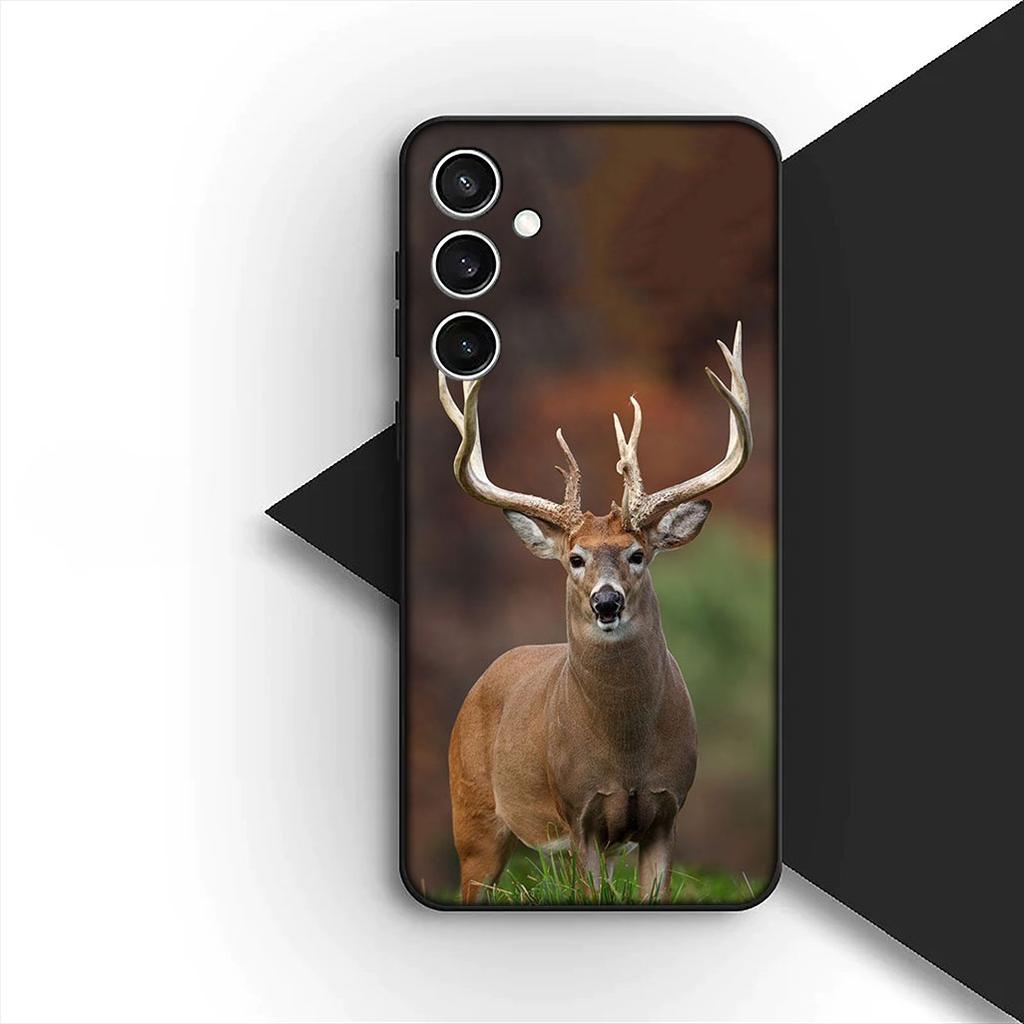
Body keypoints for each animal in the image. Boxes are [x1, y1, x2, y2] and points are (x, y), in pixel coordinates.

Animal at [439, 322, 752, 904]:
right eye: (575, 558)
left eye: (637, 553)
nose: (607, 602)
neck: (625, 751)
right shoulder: (577, 811)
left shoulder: (668, 810)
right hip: (471, 815)